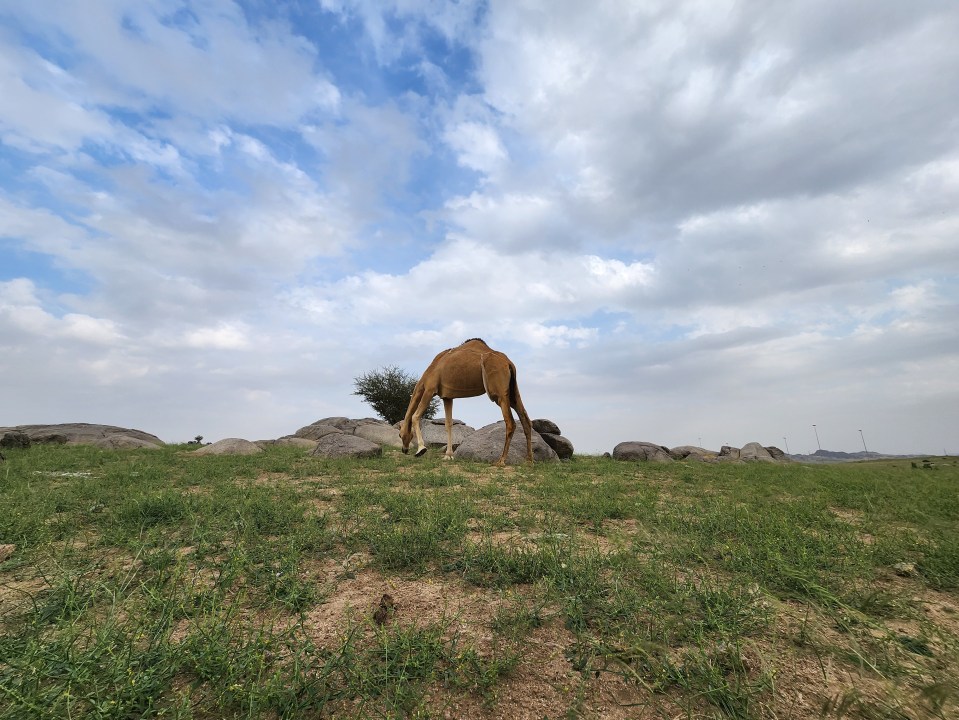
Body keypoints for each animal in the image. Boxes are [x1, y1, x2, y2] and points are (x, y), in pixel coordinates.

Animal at [398, 338, 532, 466]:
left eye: (400, 435)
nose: (404, 450)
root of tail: (508, 363)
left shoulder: (430, 389)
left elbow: (415, 416)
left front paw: (421, 449)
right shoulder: (447, 397)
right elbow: (448, 424)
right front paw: (448, 455)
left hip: (499, 394)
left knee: (510, 422)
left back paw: (501, 460)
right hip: (512, 391)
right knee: (525, 419)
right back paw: (529, 460)